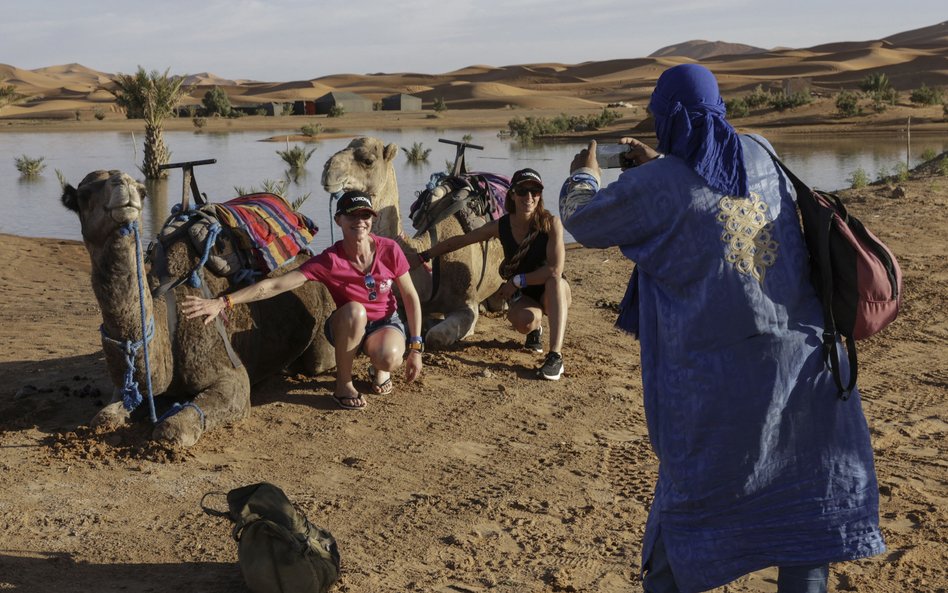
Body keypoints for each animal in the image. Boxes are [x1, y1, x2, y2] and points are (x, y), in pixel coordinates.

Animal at [60, 172, 336, 448]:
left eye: (142, 191)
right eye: (83, 195)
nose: (123, 183)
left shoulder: (230, 373)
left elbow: (171, 429)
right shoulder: (127, 388)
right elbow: (102, 418)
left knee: (320, 361)